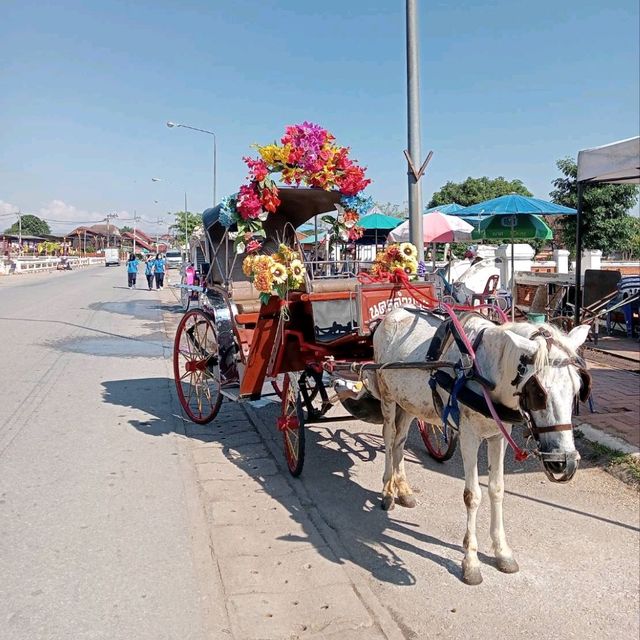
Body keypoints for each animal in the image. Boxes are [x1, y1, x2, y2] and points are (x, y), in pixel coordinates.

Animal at [368, 310, 592, 584]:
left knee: (400, 441)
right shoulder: (468, 437)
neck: (484, 374)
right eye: (539, 393)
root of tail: (392, 314)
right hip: (388, 398)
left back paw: (404, 490)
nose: (564, 462)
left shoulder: (498, 436)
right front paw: (471, 562)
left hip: (411, 403)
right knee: (389, 440)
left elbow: (497, 489)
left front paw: (502, 552)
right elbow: (472, 495)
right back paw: (388, 491)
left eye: (577, 389)